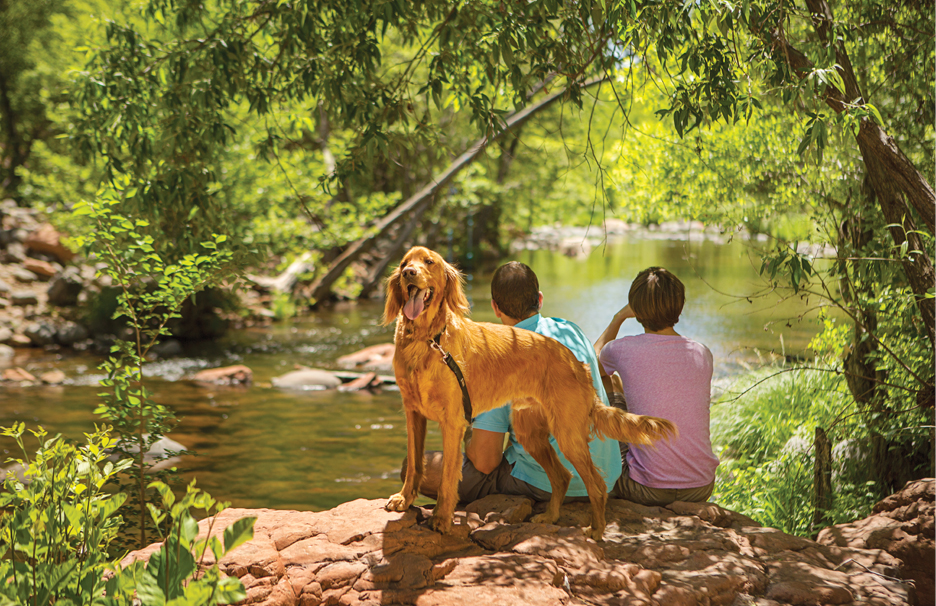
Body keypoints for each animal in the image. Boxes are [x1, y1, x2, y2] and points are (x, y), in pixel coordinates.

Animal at [384, 247, 676, 540]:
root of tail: (578, 364)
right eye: (405, 263)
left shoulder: (453, 422)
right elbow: (414, 463)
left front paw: (442, 519)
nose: (409, 273)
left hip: (567, 434)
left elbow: (447, 477)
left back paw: (595, 530)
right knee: (562, 476)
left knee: (596, 484)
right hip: (531, 433)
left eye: (429, 262)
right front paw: (404, 499)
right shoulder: (413, 413)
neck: (426, 339)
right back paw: (550, 516)